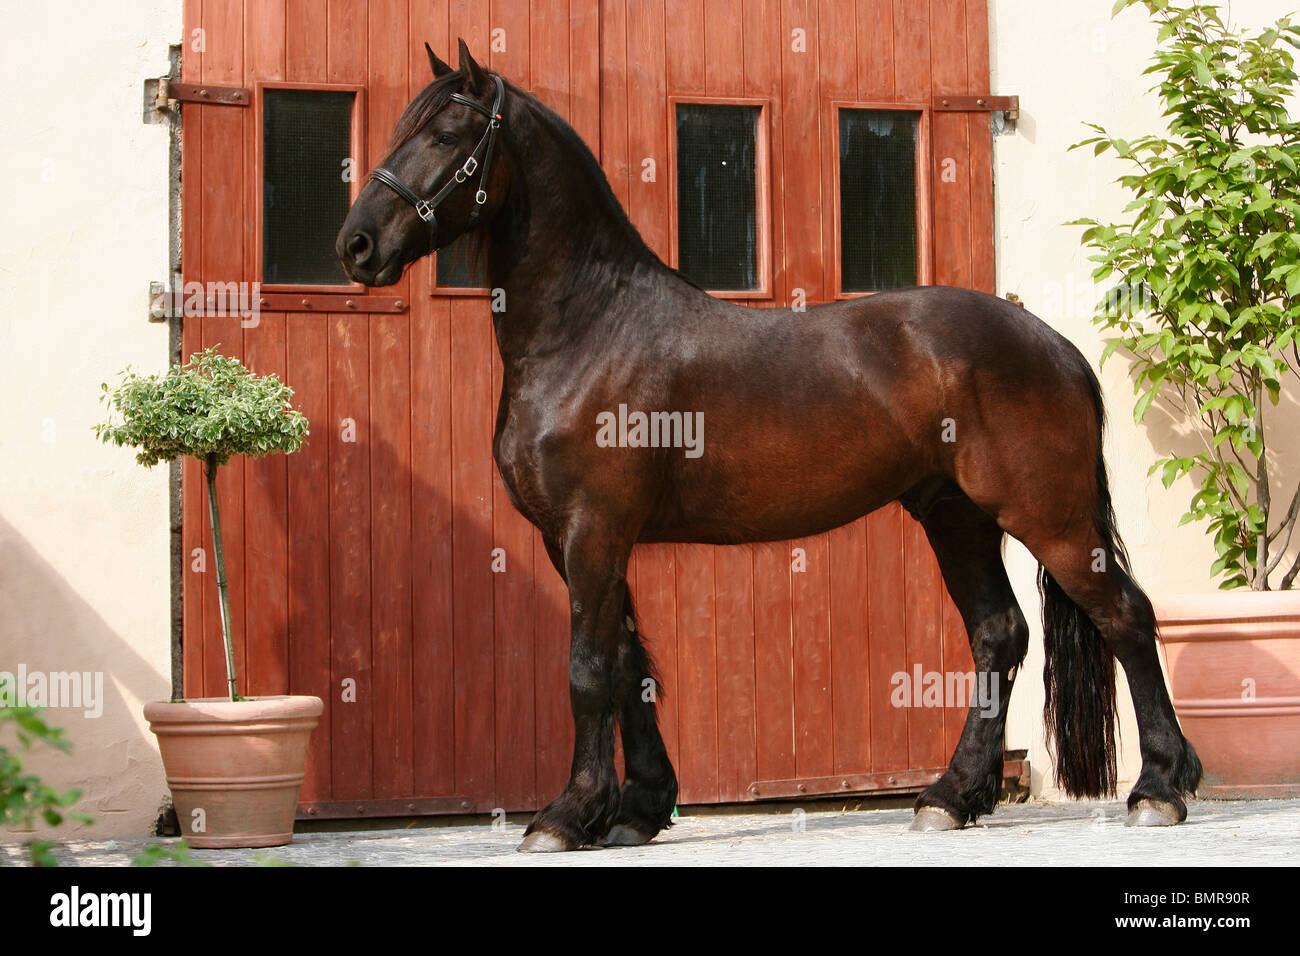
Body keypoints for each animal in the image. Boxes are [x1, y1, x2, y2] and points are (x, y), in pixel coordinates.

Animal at [336, 40, 1202, 852]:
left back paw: (1159, 787)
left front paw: (567, 814)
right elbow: (630, 667)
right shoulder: (580, 541)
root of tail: (1053, 344)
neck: (591, 328)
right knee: (999, 634)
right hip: (957, 516)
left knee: (1127, 617)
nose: (356, 246)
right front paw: (638, 809)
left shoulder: (593, 532)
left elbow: (589, 671)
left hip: (1048, 516)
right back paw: (950, 797)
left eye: (446, 134)